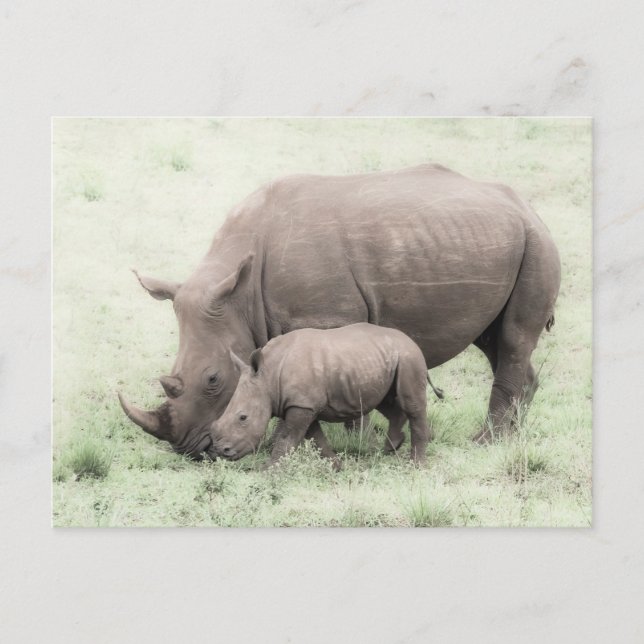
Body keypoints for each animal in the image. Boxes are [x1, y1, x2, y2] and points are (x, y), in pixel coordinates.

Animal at [211, 323, 435, 466]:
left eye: (243, 418)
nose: (222, 451)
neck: (268, 376)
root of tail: (410, 340)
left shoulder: (302, 404)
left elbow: (286, 440)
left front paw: (268, 473)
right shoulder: (303, 404)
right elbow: (316, 439)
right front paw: (336, 467)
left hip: (409, 357)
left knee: (411, 405)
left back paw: (417, 465)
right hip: (384, 359)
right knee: (386, 402)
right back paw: (391, 448)